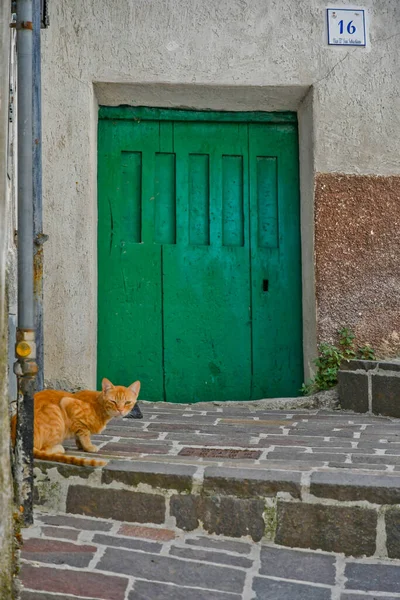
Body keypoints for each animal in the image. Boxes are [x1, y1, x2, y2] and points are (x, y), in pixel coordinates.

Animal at [10, 378, 141, 466]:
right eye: (113, 401)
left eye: (127, 402)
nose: (120, 410)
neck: (99, 407)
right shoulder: (68, 404)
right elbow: (84, 433)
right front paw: (88, 446)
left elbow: (79, 435)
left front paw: (80, 445)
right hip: (55, 411)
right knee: (42, 448)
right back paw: (59, 448)